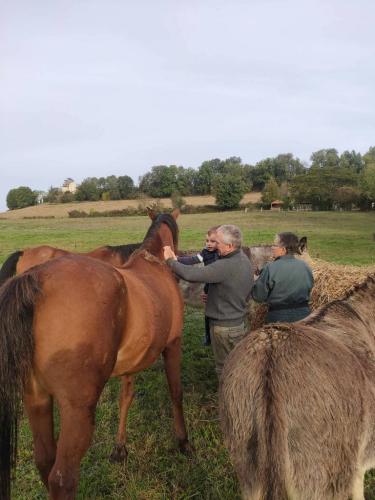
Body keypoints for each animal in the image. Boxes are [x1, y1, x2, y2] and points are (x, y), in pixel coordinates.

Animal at [0, 209, 188, 500]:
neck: (153, 266)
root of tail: (35, 279)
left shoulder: (131, 361)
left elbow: (126, 398)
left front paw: (120, 448)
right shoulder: (173, 346)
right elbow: (176, 393)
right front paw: (183, 441)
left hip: (36, 399)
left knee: (45, 461)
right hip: (76, 411)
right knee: (62, 478)